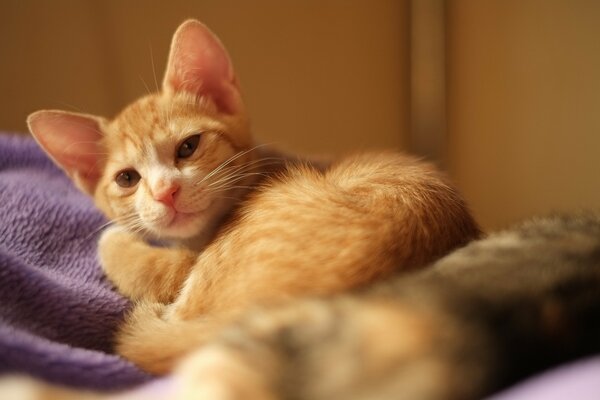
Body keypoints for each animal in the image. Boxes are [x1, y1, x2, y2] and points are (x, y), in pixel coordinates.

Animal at [27, 18, 478, 376]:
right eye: (127, 178)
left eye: (188, 147)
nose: (165, 192)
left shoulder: (187, 268)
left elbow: (142, 264)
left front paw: (113, 240)